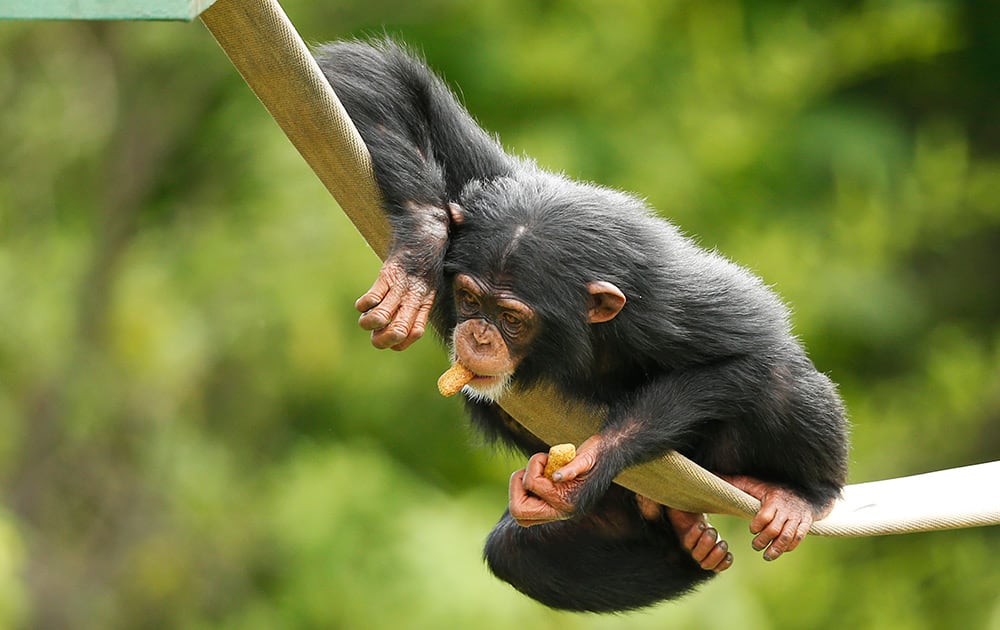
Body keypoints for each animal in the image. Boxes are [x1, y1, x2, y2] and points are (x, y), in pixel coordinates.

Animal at [316, 38, 848, 612]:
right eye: (469, 299)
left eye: (510, 318)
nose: (477, 334)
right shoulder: (486, 185)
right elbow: (368, 74)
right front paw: (421, 242)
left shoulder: (668, 307)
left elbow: (753, 351)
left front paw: (593, 461)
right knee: (516, 554)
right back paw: (683, 541)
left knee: (781, 380)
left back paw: (797, 496)